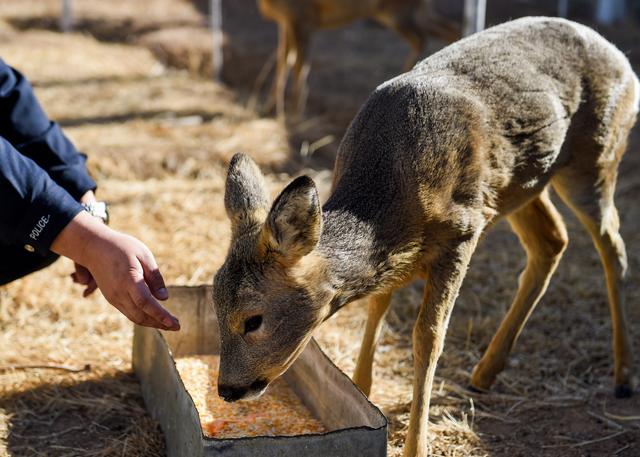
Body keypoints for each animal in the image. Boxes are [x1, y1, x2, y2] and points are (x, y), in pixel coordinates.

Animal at [212, 16, 636, 454]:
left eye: (253, 319)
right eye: (215, 306)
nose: (227, 389)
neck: (390, 203)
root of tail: (619, 57)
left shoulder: (462, 230)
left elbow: (428, 338)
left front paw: (417, 444)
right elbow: (377, 309)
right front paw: (361, 392)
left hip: (594, 159)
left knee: (614, 244)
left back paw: (623, 375)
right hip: (520, 184)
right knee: (552, 240)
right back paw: (485, 372)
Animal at [255, 0, 460, 117]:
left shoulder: (302, 17)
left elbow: (299, 66)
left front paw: (295, 114)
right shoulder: (286, 19)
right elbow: (283, 61)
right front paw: (269, 108)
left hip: (399, 13)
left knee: (422, 37)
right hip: (413, 11)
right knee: (445, 29)